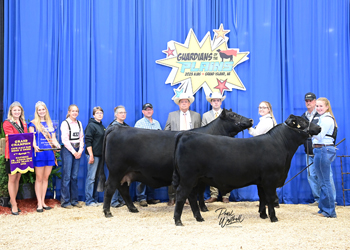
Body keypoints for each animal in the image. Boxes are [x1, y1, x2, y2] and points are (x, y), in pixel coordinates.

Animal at [97, 109, 253, 217]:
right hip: (116, 170)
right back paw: (107, 212)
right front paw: (203, 208)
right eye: (233, 115)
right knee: (110, 188)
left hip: (126, 172)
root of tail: (117, 128)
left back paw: (133, 209)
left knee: (123, 188)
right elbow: (200, 192)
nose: (251, 119)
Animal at [172, 115, 320, 227]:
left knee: (191, 196)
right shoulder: (270, 179)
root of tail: (185, 134)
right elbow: (270, 198)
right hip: (188, 178)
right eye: (303, 122)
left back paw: (199, 218)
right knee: (181, 195)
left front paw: (263, 215)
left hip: (194, 179)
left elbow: (262, 198)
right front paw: (273, 218)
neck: (282, 146)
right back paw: (178, 220)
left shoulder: (261, 181)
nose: (319, 127)